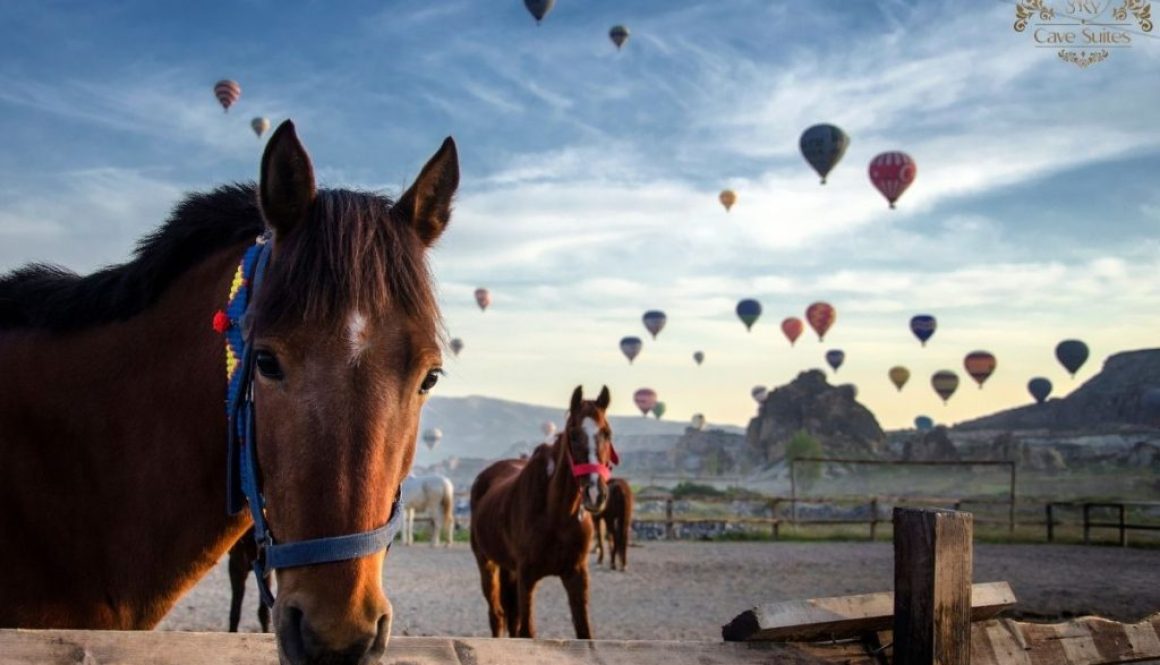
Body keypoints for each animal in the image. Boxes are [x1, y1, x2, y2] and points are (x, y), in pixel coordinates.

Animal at [468, 382, 621, 635]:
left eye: (607, 433)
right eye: (574, 434)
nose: (595, 494)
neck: (555, 515)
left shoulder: (576, 575)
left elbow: (584, 633)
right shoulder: (527, 576)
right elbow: (527, 631)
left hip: (509, 570)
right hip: (487, 564)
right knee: (497, 616)